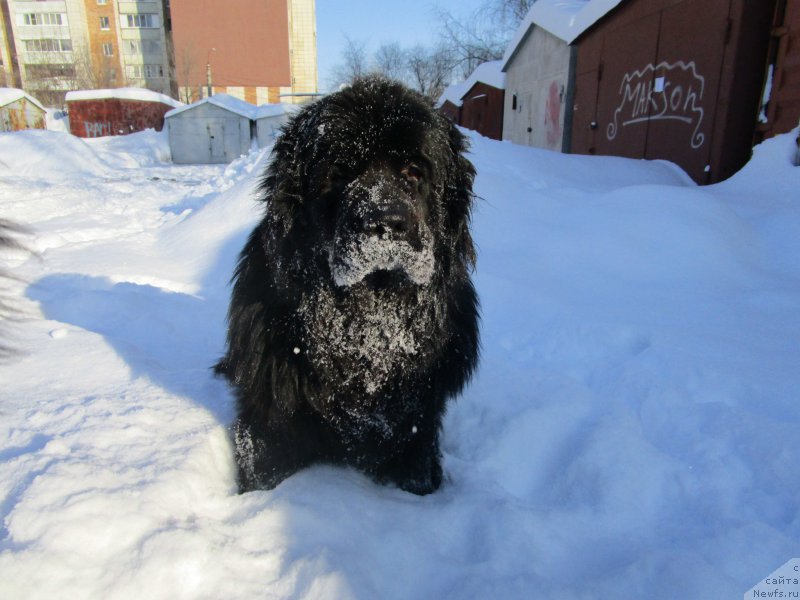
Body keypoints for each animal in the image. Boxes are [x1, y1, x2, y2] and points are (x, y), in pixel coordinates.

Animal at [216, 76, 478, 496]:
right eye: (340, 173)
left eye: (414, 170)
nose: (386, 223)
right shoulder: (266, 423)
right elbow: (262, 467)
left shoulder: (416, 429)